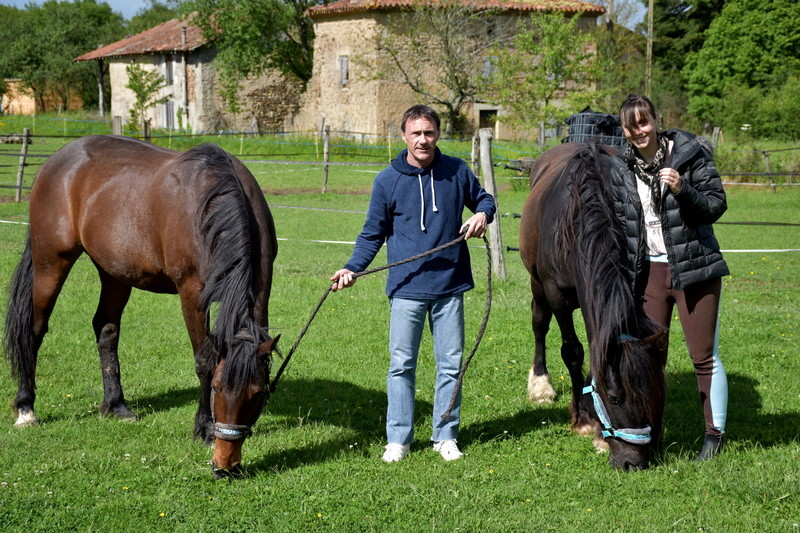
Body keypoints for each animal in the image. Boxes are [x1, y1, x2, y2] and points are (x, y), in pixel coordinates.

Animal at [3, 135, 278, 476]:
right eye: (215, 388)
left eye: (258, 393)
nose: (225, 465)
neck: (210, 204)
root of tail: (57, 160)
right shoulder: (191, 291)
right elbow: (203, 359)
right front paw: (202, 427)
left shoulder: (263, 283)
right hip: (50, 262)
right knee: (34, 330)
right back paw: (26, 408)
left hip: (114, 272)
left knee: (106, 329)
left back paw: (116, 406)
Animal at [520, 142, 664, 470]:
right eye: (614, 397)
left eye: (653, 390)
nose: (633, 463)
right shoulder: (555, 293)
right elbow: (572, 352)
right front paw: (585, 420)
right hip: (537, 284)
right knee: (539, 325)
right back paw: (540, 385)